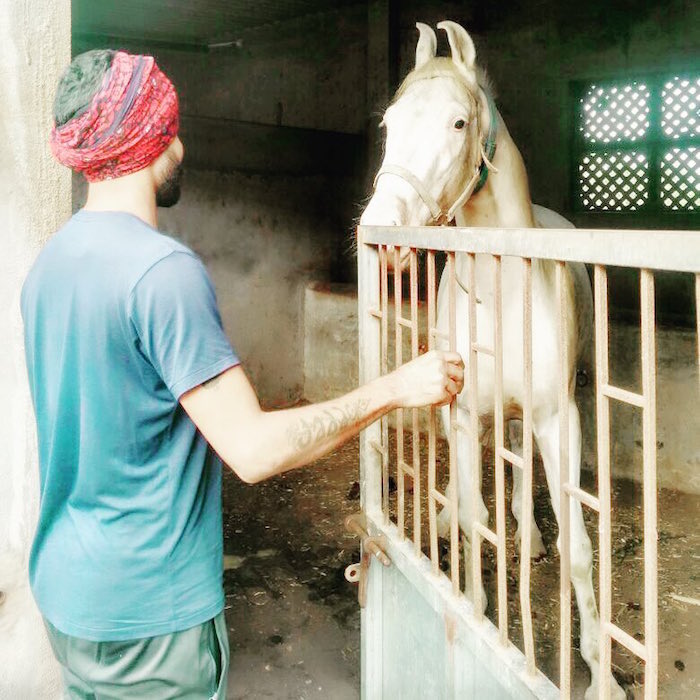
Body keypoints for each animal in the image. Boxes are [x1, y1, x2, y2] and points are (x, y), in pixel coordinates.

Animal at [358, 19, 628, 696]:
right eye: (390, 123)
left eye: (458, 122)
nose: (384, 235)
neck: (502, 291)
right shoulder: (460, 410)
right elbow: (476, 517)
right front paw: (476, 610)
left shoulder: (561, 418)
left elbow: (579, 550)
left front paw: (600, 675)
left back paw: (528, 537)